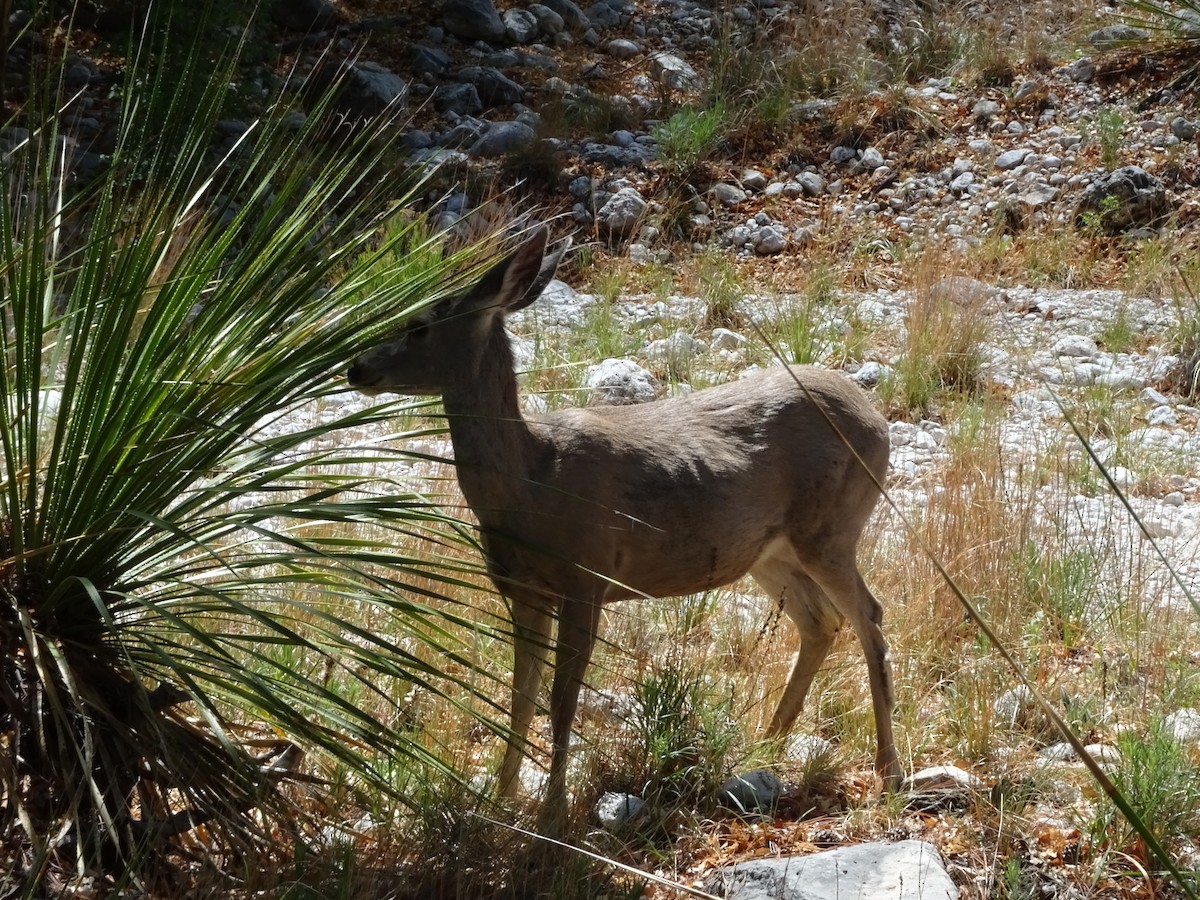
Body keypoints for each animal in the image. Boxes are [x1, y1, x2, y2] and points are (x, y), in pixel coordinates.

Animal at [347, 226, 901, 829]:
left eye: (419, 324)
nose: (356, 367)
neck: (529, 484)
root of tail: (878, 419)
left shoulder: (586, 576)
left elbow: (561, 700)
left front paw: (551, 818)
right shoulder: (522, 589)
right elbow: (520, 693)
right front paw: (500, 799)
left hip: (831, 527)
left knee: (869, 616)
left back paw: (888, 771)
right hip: (768, 552)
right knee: (821, 621)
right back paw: (766, 747)